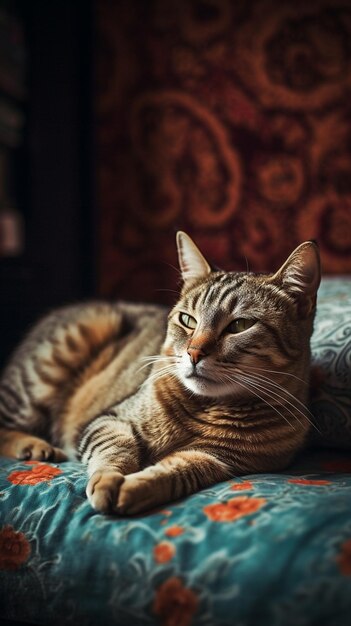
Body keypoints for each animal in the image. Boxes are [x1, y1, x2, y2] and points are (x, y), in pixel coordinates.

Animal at [0, 232, 320, 516]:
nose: (194, 353)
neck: (204, 407)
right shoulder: (110, 419)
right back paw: (34, 446)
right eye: (187, 320)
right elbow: (115, 449)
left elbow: (173, 472)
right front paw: (107, 480)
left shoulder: (217, 459)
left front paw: (133, 488)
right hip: (46, 370)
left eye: (240, 325)